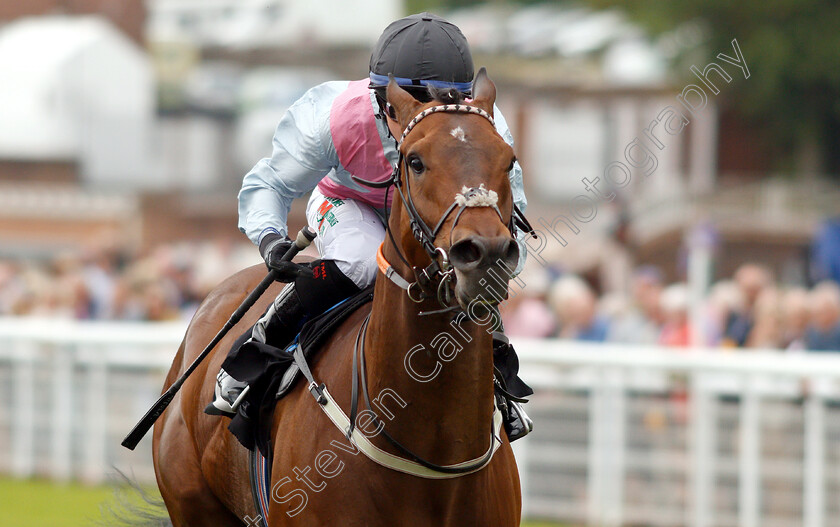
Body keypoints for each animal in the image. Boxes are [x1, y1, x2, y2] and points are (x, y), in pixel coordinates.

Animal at [150, 70, 520, 527]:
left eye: (509, 160)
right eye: (415, 161)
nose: (485, 254)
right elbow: (270, 180)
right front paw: (278, 252)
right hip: (192, 502)